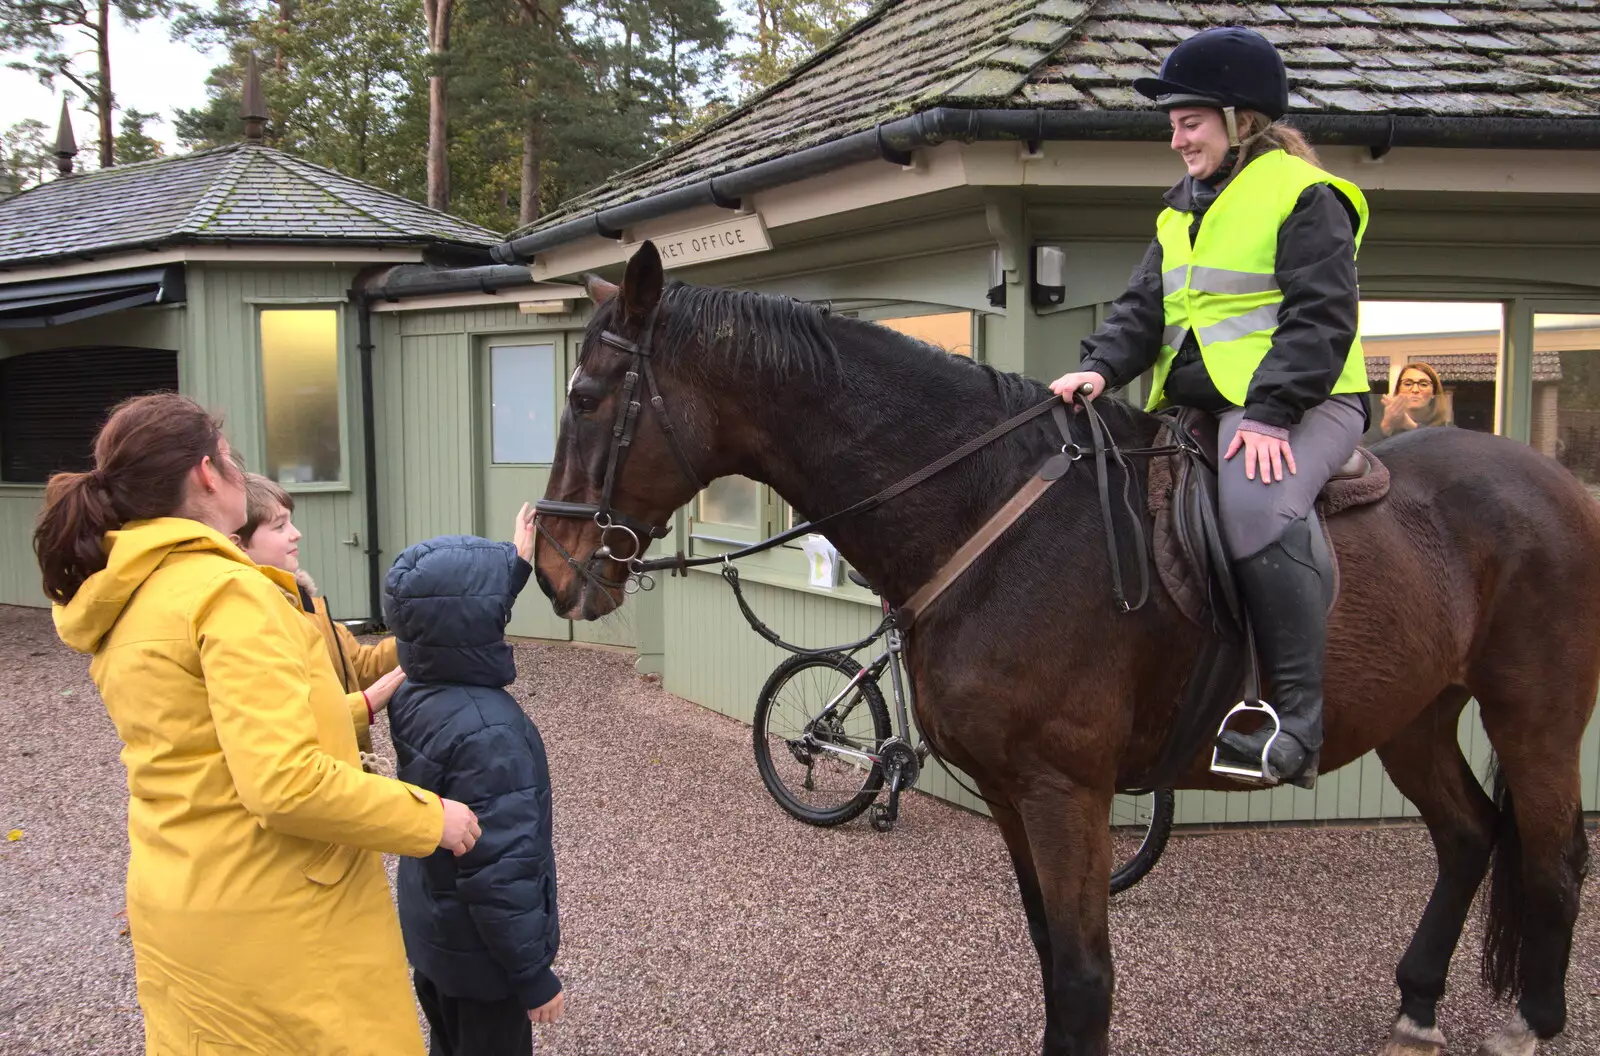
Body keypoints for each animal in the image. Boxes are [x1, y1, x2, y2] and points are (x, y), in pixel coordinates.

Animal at [531, 243, 1593, 1049]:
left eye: (586, 397)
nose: (550, 565)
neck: (994, 513)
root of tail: (1558, 484)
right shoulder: (1011, 794)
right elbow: (1050, 957)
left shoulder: (1064, 793)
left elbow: (1085, 978)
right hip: (1413, 714)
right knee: (1468, 836)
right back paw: (1417, 1003)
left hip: (1535, 715)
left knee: (1551, 856)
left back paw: (1534, 1022)